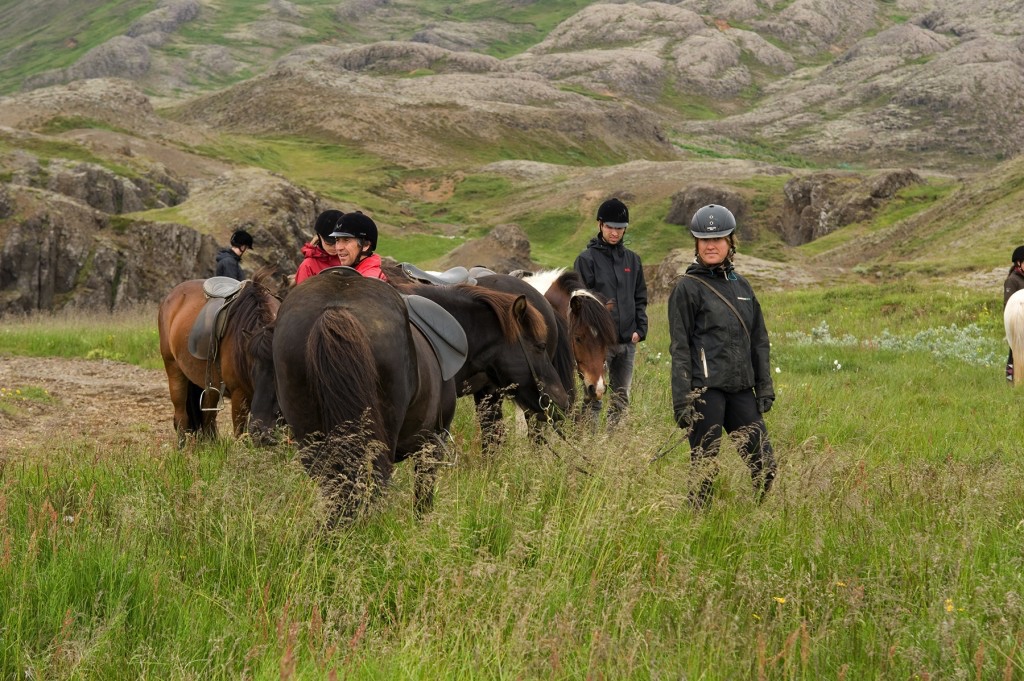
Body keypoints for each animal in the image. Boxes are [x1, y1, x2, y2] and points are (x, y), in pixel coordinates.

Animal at [155, 268, 278, 444]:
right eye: (253, 370)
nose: (263, 435)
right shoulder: (239, 395)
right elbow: (240, 433)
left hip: (209, 385)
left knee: (208, 420)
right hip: (174, 369)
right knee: (181, 417)